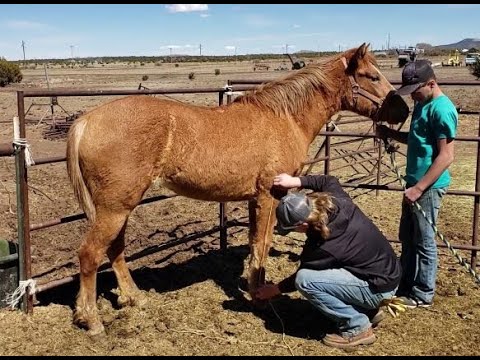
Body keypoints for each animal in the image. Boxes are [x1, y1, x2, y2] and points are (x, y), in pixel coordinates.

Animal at [66, 43, 404, 334]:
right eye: (372, 76)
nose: (403, 111)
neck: (284, 117)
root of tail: (87, 120)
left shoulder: (256, 199)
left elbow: (256, 242)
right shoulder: (269, 196)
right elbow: (262, 244)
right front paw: (259, 296)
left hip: (120, 207)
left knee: (115, 249)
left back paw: (133, 298)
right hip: (114, 208)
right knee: (90, 254)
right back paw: (91, 320)